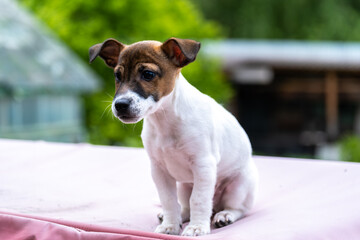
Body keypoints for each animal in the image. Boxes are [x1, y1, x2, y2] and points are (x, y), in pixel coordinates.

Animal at [90, 38, 258, 236]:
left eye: (148, 74)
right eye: (117, 76)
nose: (120, 105)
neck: (165, 120)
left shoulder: (203, 165)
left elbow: (199, 199)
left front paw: (196, 227)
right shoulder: (159, 170)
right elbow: (169, 200)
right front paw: (170, 225)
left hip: (238, 186)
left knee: (238, 208)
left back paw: (225, 215)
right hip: (184, 186)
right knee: (185, 206)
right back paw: (179, 216)